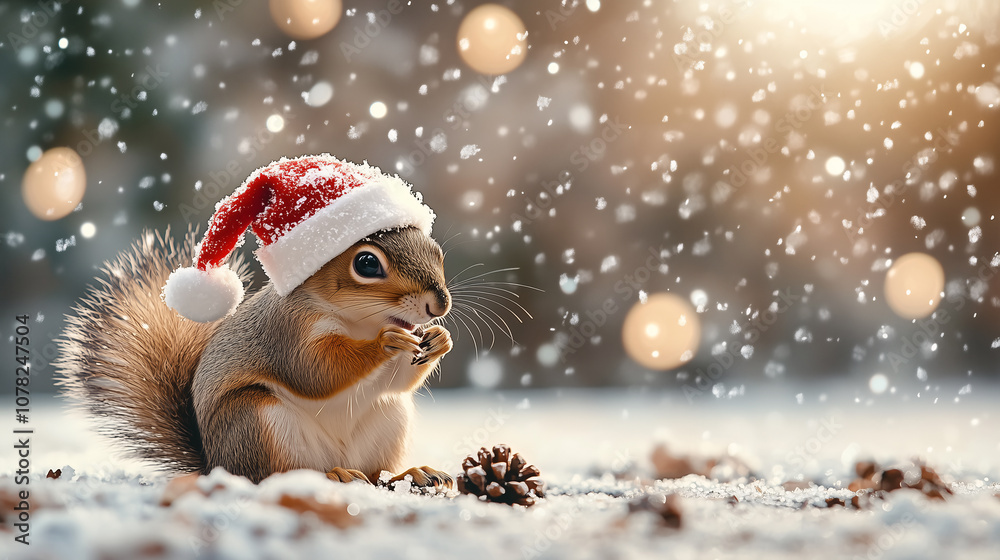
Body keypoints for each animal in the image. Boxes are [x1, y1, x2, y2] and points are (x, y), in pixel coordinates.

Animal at [57, 155, 455, 487]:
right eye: (367, 263)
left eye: (436, 251)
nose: (439, 304)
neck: (360, 321)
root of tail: (214, 464)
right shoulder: (287, 331)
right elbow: (315, 371)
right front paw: (385, 342)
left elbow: (397, 381)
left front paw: (440, 340)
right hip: (257, 422)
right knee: (274, 475)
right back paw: (334, 475)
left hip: (389, 418)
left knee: (376, 473)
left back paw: (412, 473)